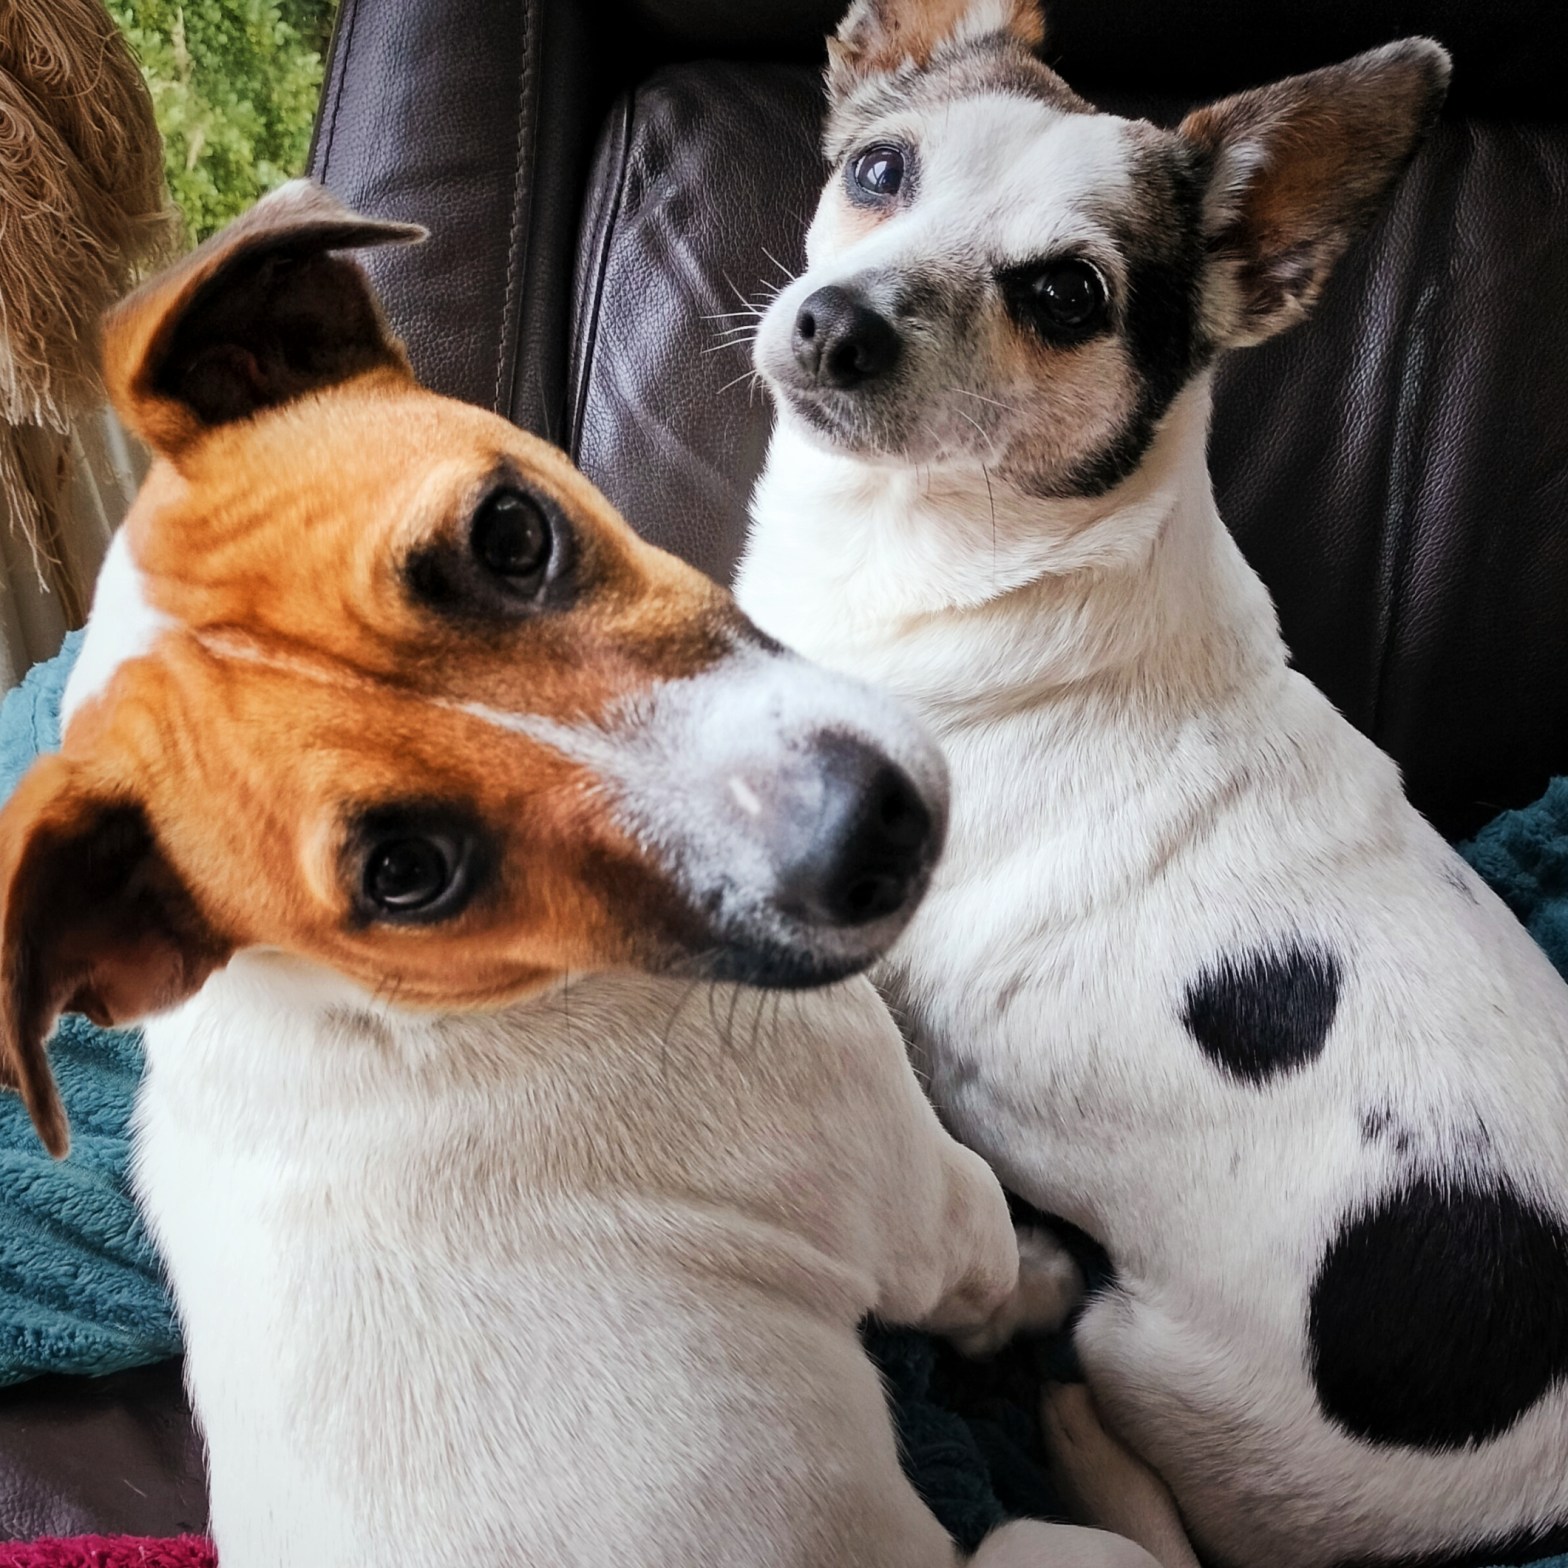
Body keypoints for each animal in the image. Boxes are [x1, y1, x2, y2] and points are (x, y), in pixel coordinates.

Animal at [0, 182, 1184, 1568]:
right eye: (406, 874)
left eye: (512, 531)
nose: (873, 833)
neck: (397, 1011)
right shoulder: (917, 1198)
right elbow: (991, 1261)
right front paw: (1046, 1294)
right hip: (1031, 1544)